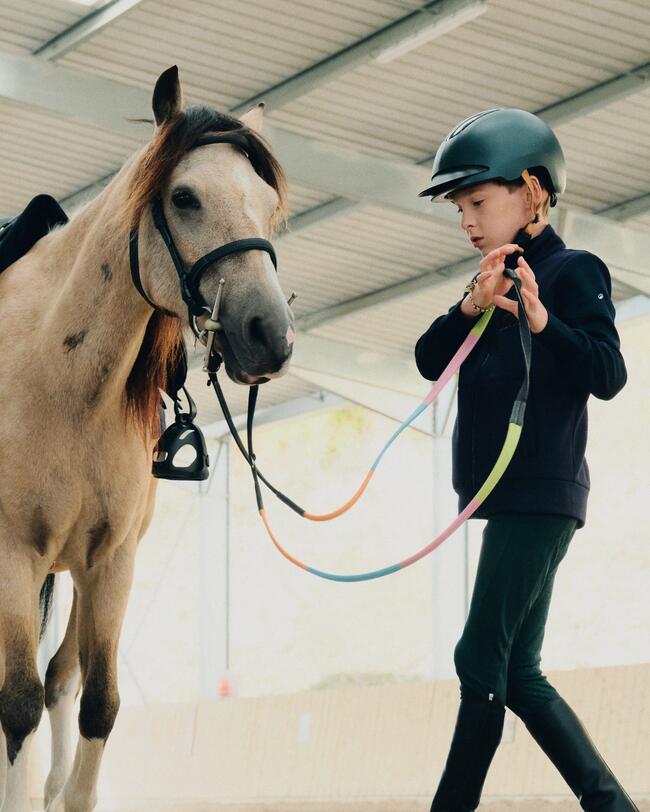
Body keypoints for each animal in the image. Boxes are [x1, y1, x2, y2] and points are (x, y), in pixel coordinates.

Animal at [0, 65, 294, 812]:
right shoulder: (11, 557)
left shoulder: (110, 563)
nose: (269, 334)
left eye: (266, 204)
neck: (56, 379)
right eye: (184, 197)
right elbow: (16, 707)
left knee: (62, 680)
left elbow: (95, 705)